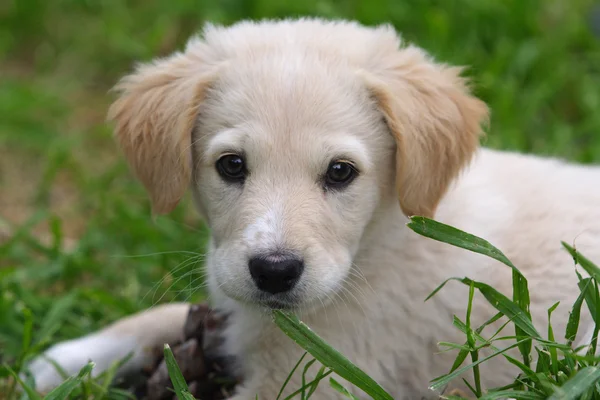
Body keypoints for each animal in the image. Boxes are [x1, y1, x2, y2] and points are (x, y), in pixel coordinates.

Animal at [27, 18, 600, 400]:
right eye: (231, 165)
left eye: (341, 172)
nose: (274, 272)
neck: (382, 242)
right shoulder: (234, 301)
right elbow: (156, 317)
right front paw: (59, 361)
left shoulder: (315, 376)